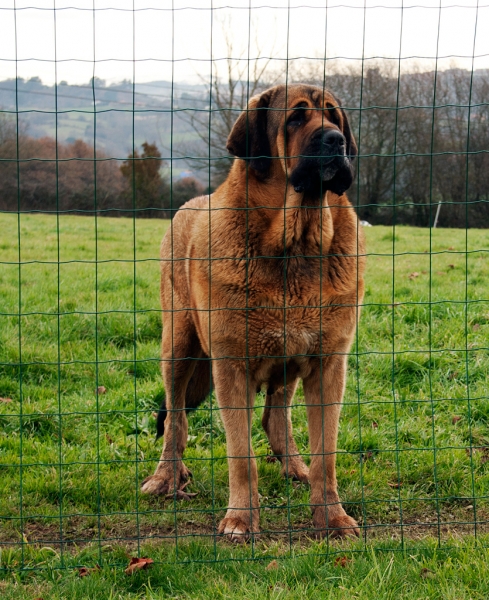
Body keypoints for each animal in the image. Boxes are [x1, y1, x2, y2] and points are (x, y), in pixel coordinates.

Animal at [140, 85, 362, 544]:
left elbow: (326, 454)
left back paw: (294, 466)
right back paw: (166, 477)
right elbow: (240, 454)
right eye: (295, 119)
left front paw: (331, 517)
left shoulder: (329, 366)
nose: (336, 141)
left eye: (334, 117)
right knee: (175, 423)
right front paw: (241, 519)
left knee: (275, 418)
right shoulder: (231, 367)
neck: (297, 242)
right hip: (178, 347)